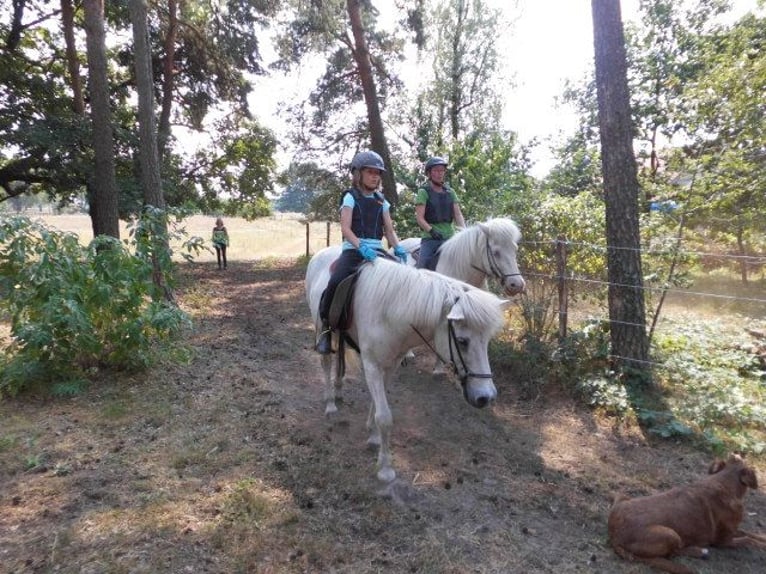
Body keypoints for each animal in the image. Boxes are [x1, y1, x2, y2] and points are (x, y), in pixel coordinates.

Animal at [304, 250, 510, 484]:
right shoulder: (372, 365)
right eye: (462, 341)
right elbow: (385, 417)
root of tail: (320, 254)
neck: (392, 309)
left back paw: (338, 392)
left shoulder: (390, 365)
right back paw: (330, 403)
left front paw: (373, 436)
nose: (486, 397)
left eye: (487, 341)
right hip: (321, 329)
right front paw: (385, 469)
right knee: (327, 363)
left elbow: (377, 404)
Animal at [608, 454, 764, 574]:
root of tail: (614, 535)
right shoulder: (723, 541)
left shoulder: (732, 530)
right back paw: (699, 552)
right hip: (671, 534)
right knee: (672, 553)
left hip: (623, 496)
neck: (724, 483)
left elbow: (751, 534)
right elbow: (749, 540)